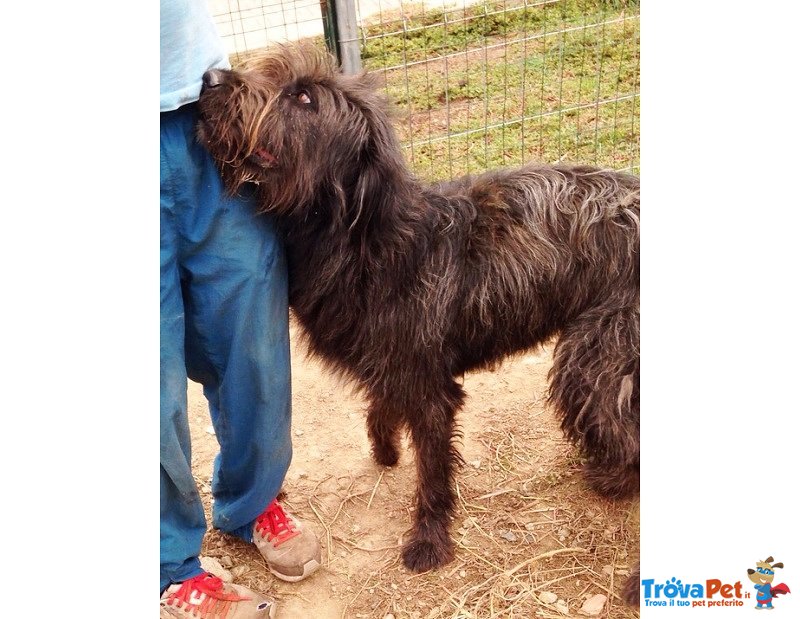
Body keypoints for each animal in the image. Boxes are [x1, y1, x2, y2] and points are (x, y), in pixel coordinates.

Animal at [197, 43, 640, 576]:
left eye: (303, 98)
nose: (209, 79)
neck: (362, 240)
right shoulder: (390, 361)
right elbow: (382, 402)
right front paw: (385, 446)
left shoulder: (430, 386)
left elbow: (432, 469)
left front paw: (429, 539)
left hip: (596, 361)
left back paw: (614, 478)